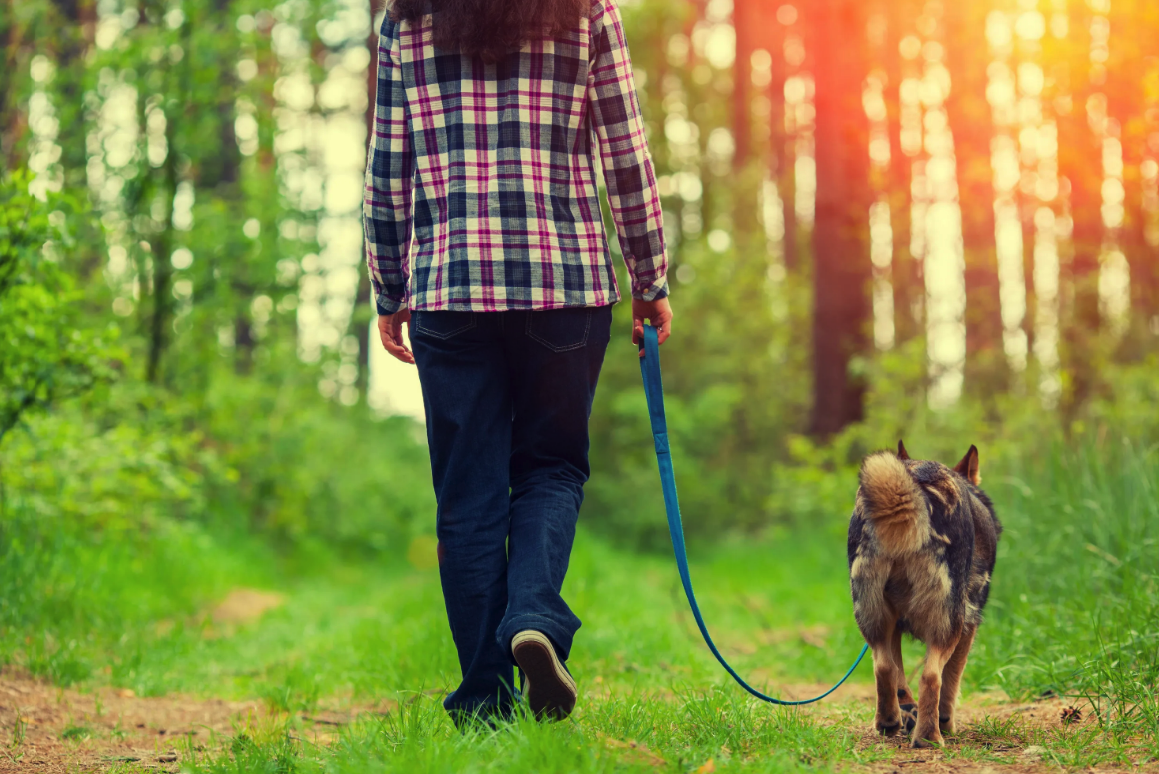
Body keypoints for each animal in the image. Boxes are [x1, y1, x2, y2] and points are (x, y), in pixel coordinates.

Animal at [848, 440, 1001, 750]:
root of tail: (916, 480)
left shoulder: (895, 626)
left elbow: (899, 677)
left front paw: (908, 714)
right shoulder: (968, 626)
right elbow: (951, 680)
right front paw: (945, 722)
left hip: (873, 619)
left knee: (884, 668)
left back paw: (889, 722)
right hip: (948, 624)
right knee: (931, 677)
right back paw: (929, 737)